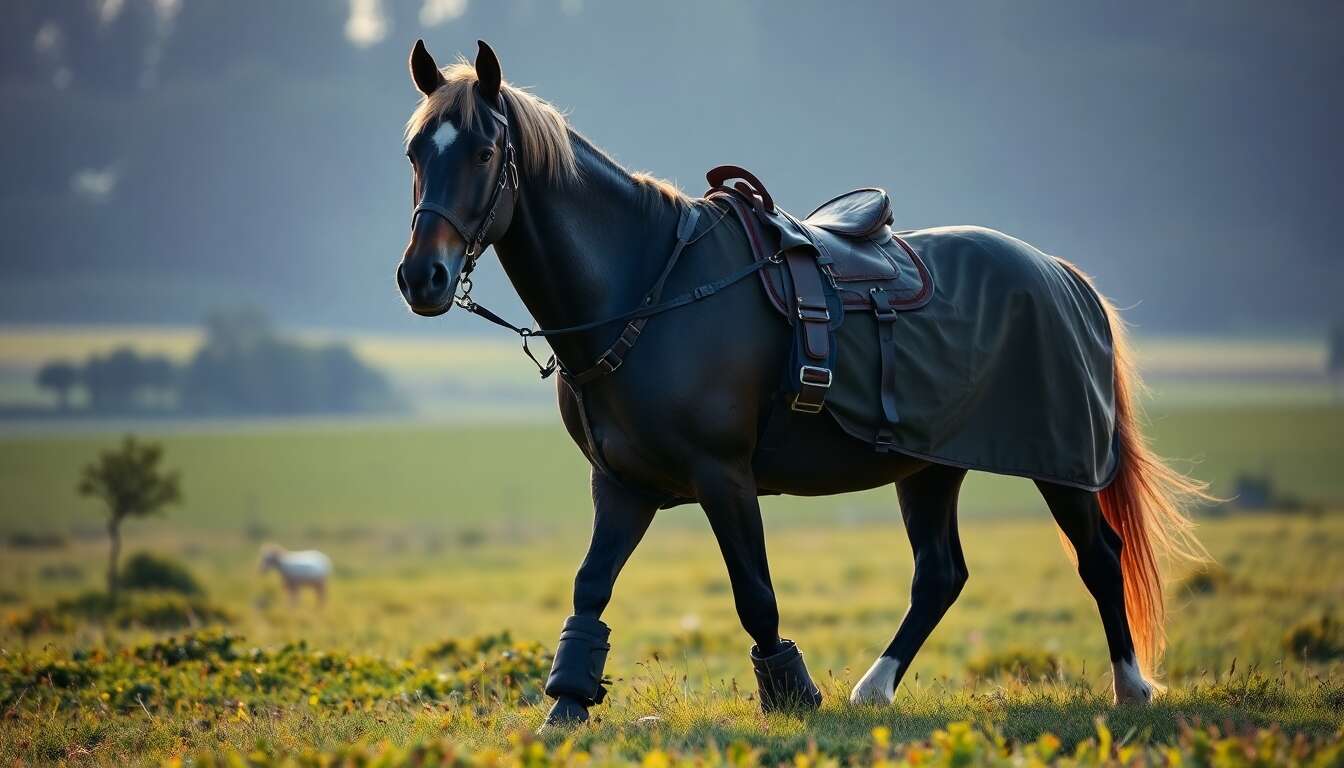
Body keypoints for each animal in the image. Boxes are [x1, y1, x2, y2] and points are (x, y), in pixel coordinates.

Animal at [395, 40, 1209, 727]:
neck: (650, 286)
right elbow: (591, 586)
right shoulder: (622, 483)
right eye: (415, 151)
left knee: (1098, 555)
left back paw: (1131, 687)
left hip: (1060, 464)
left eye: (485, 150)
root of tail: (1060, 275)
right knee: (939, 575)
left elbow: (755, 595)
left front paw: (790, 694)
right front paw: (567, 705)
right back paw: (875, 687)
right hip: (929, 465)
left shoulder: (723, 476)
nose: (421, 277)